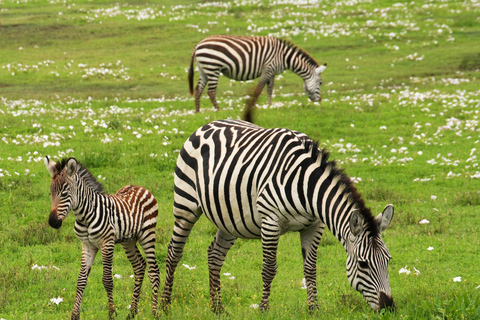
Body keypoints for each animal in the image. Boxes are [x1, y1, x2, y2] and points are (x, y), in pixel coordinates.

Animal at [43, 158, 159, 320]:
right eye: (51, 192)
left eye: (65, 194)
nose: (53, 222)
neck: (85, 216)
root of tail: (140, 187)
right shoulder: (87, 245)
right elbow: (81, 280)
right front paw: (75, 315)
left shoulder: (107, 243)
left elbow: (107, 280)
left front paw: (112, 313)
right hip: (128, 241)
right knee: (139, 266)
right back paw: (132, 312)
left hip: (147, 233)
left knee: (154, 271)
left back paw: (155, 312)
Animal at [163, 120, 396, 312]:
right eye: (363, 264)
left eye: (388, 260)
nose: (389, 307)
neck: (307, 187)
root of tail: (206, 125)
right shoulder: (270, 221)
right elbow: (269, 268)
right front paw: (263, 309)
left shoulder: (314, 225)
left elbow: (310, 268)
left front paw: (314, 309)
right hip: (185, 204)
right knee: (174, 252)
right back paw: (165, 305)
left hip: (229, 218)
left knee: (215, 255)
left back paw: (217, 308)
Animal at [188, 35, 326, 113]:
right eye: (320, 83)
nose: (319, 100)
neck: (284, 57)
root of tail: (198, 45)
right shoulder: (268, 69)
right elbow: (258, 90)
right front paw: (253, 107)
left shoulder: (272, 73)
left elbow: (270, 89)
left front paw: (270, 106)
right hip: (213, 67)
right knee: (211, 92)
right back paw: (218, 110)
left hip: (204, 69)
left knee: (198, 89)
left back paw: (197, 112)